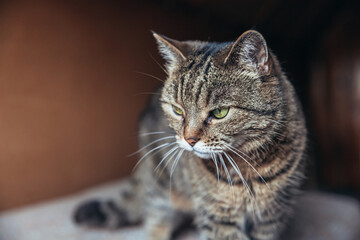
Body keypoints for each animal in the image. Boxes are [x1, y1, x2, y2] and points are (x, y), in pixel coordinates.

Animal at [73, 30, 306, 240]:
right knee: (155, 219)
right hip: (161, 187)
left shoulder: (271, 218)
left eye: (220, 112)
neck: (249, 167)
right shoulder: (217, 217)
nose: (190, 139)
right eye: (177, 110)